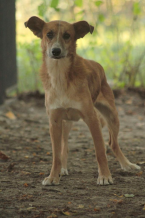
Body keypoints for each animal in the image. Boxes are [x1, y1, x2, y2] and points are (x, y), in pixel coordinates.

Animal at [24, 16, 140, 185]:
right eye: (49, 34)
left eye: (67, 35)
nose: (56, 51)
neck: (60, 76)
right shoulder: (54, 121)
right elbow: (56, 155)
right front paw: (53, 177)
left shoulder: (92, 119)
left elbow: (100, 151)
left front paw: (105, 176)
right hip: (66, 123)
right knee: (64, 146)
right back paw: (63, 169)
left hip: (112, 116)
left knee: (113, 143)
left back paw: (127, 165)